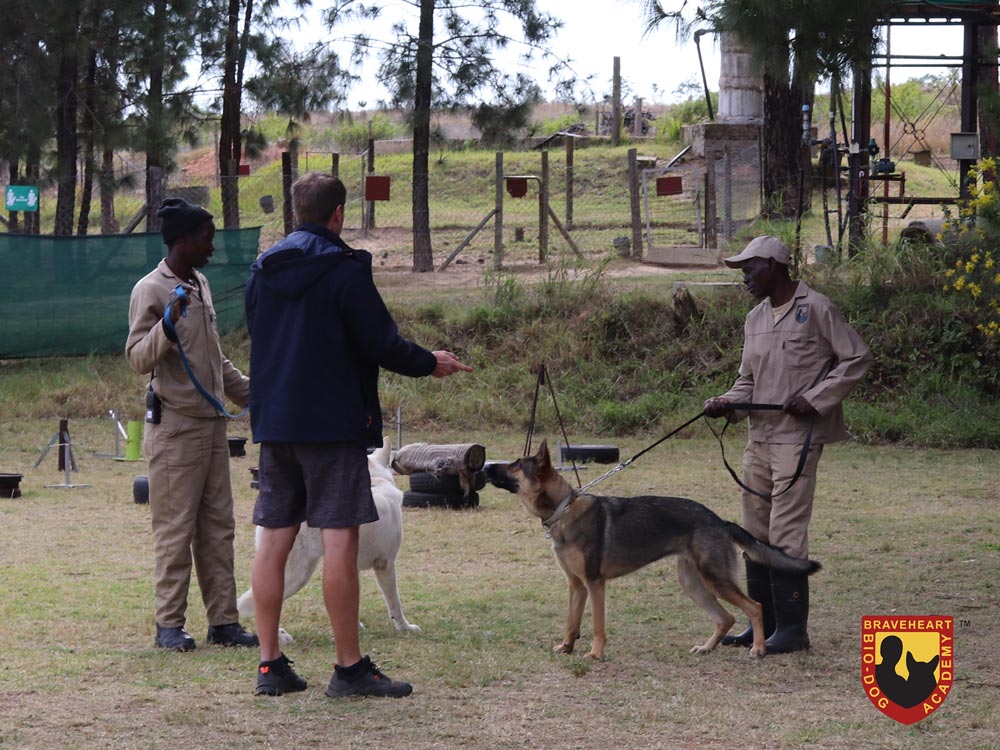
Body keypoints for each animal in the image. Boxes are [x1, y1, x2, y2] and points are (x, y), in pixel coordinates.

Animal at [237, 438, 420, 641]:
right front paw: (405, 627)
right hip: (298, 574)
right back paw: (279, 638)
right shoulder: (385, 564)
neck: (375, 483)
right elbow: (395, 603)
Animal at [485, 440, 821, 659]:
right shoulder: (576, 586)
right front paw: (567, 647)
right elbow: (571, 623)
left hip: (715, 580)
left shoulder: (594, 584)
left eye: (516, 464)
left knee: (754, 607)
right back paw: (707, 648)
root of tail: (718, 520)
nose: (487, 466)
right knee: (725, 618)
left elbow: (596, 625)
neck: (563, 509)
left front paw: (595, 654)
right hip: (692, 583)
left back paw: (759, 649)